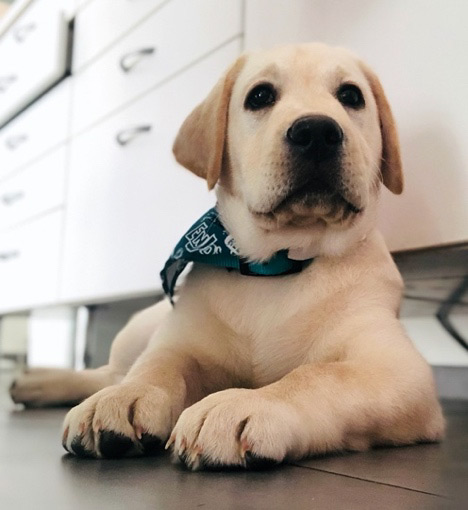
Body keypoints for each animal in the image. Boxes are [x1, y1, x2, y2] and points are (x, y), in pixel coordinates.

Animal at [10, 43, 442, 470]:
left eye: (351, 96)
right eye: (260, 96)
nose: (317, 132)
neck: (278, 263)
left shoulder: (396, 367)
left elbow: (317, 375)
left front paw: (245, 403)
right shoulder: (180, 341)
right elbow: (158, 365)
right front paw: (127, 397)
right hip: (139, 330)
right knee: (110, 372)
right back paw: (42, 382)